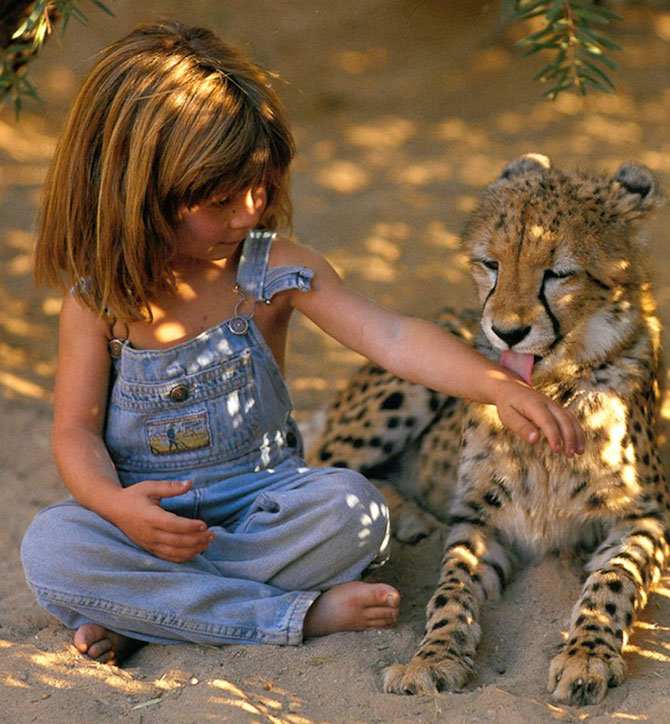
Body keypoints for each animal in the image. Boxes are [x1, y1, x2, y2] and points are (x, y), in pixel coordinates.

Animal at [312, 156, 670, 704]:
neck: (549, 393)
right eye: (491, 264)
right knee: (322, 464)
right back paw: (410, 520)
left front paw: (587, 654)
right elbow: (450, 589)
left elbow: (614, 580)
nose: (507, 331)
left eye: (559, 273)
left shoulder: (646, 518)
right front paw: (432, 658)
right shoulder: (480, 520)